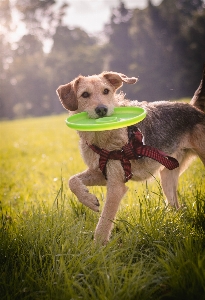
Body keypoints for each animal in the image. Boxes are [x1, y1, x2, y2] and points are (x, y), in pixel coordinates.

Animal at [56, 67, 205, 244]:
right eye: (85, 94)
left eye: (106, 91)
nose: (102, 109)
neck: (102, 139)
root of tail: (195, 109)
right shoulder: (101, 174)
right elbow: (72, 181)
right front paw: (89, 200)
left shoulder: (116, 186)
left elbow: (103, 224)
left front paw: (97, 249)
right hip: (167, 175)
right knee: (176, 207)